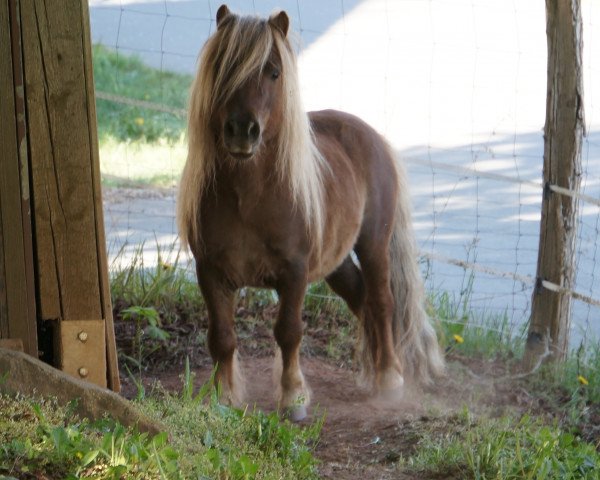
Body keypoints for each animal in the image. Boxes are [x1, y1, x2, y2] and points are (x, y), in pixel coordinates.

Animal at [176, 5, 442, 422]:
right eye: (222, 66)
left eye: (273, 72)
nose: (241, 130)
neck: (248, 198)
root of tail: (372, 136)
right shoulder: (211, 272)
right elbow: (221, 336)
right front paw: (224, 398)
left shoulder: (295, 272)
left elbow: (288, 331)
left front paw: (293, 398)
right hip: (337, 262)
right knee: (362, 299)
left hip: (373, 245)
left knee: (382, 301)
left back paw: (389, 379)